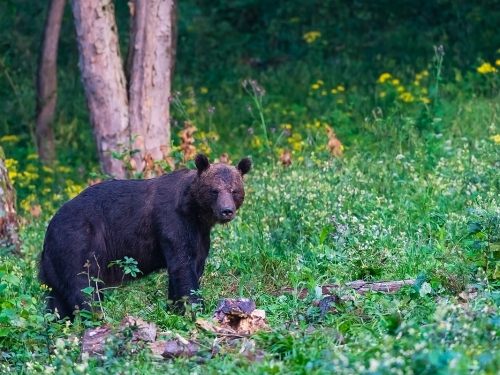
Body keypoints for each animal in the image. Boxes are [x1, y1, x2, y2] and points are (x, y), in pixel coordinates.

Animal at [38, 154, 252, 322]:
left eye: (234, 190)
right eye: (214, 190)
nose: (226, 211)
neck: (195, 211)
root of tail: (49, 228)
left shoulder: (199, 234)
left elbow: (192, 265)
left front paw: (175, 308)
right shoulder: (172, 221)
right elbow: (183, 265)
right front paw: (196, 310)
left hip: (53, 264)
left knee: (56, 300)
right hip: (78, 243)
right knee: (84, 287)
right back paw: (98, 318)